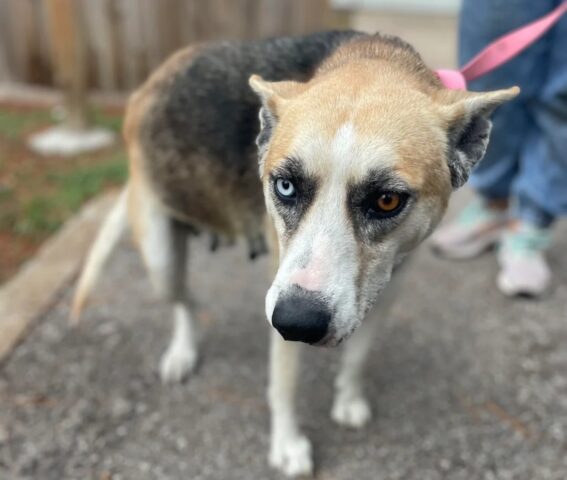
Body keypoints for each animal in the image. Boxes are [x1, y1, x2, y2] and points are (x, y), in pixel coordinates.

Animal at [71, 31, 520, 476]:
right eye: (285, 186)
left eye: (387, 200)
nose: (297, 321)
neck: (373, 57)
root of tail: (150, 82)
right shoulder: (283, 301)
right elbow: (284, 385)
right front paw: (287, 446)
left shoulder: (384, 290)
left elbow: (357, 358)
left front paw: (348, 400)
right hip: (161, 255)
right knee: (185, 300)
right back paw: (183, 352)